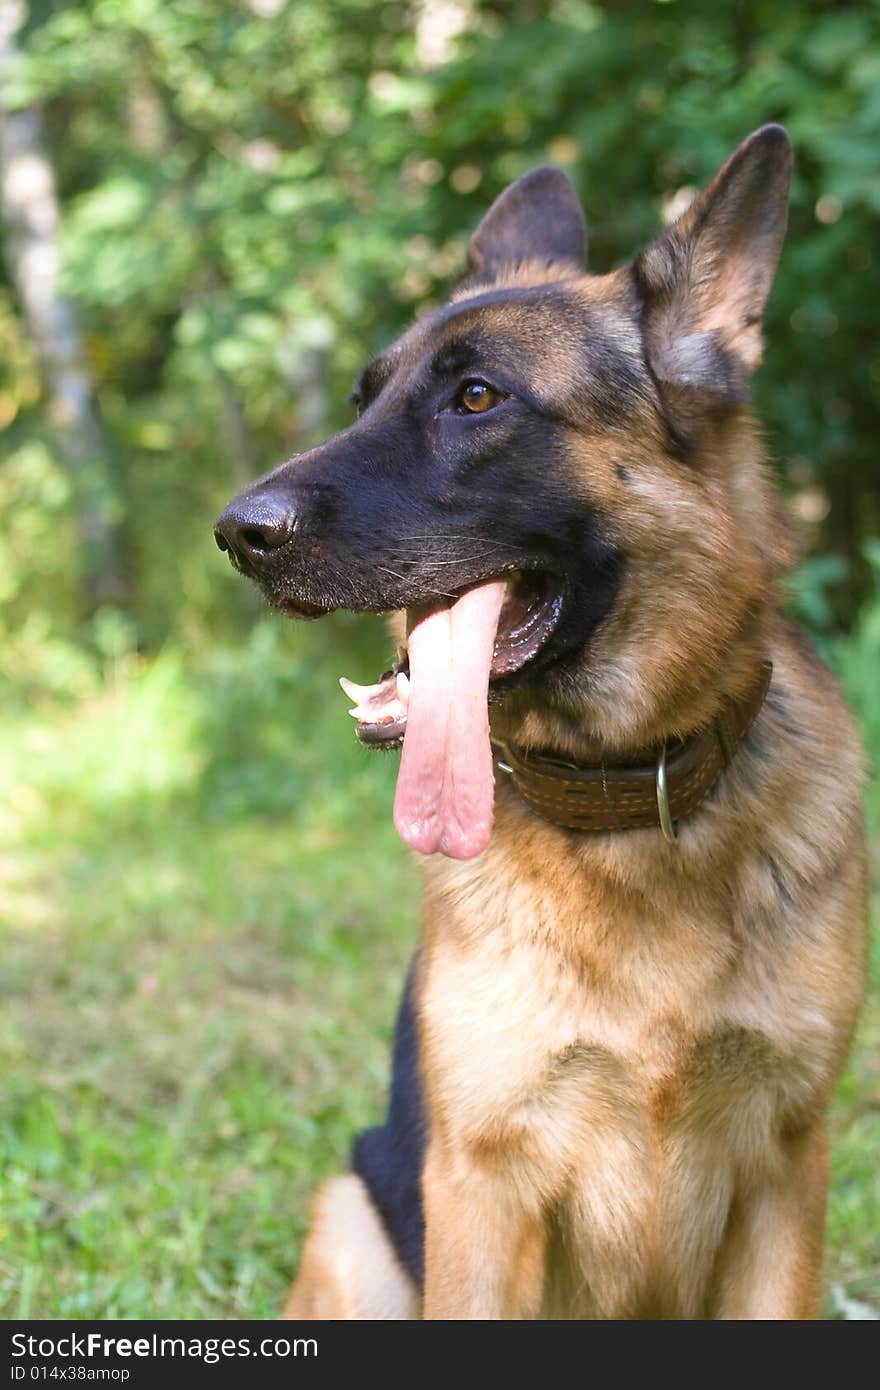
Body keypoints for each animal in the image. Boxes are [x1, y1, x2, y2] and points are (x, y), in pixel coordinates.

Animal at [214, 127, 867, 1312]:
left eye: (477, 398)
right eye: (362, 396)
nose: (238, 534)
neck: (627, 796)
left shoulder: (787, 1175)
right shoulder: (483, 1189)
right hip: (351, 1221)